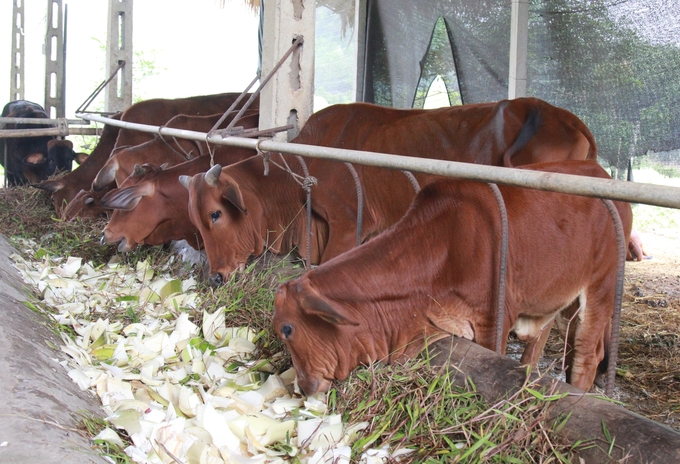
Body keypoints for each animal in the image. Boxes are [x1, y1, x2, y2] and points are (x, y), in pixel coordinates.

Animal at [270, 160, 632, 396]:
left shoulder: (494, 321)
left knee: (587, 355)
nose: (303, 388)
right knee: (540, 342)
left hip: (601, 288)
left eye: (287, 329)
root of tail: (602, 174)